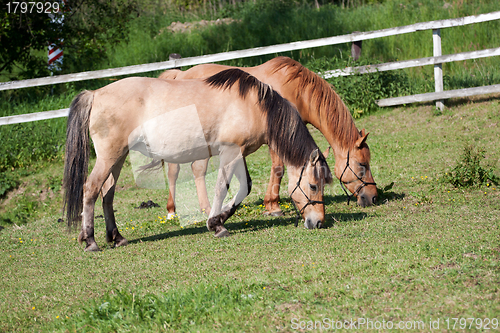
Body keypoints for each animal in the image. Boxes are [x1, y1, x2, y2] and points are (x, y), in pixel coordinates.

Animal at [64, 68, 334, 250]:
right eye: (313, 186)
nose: (319, 222)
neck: (254, 105)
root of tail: (95, 93)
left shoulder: (239, 154)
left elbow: (243, 187)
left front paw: (220, 218)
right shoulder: (229, 153)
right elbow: (222, 187)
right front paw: (216, 224)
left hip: (117, 158)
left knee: (107, 193)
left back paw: (117, 237)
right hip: (109, 157)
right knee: (90, 189)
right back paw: (90, 240)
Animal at [158, 55, 376, 217]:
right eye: (362, 165)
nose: (374, 197)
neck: (296, 90)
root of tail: (180, 75)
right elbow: (278, 167)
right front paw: (273, 206)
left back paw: (175, 210)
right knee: (192, 169)